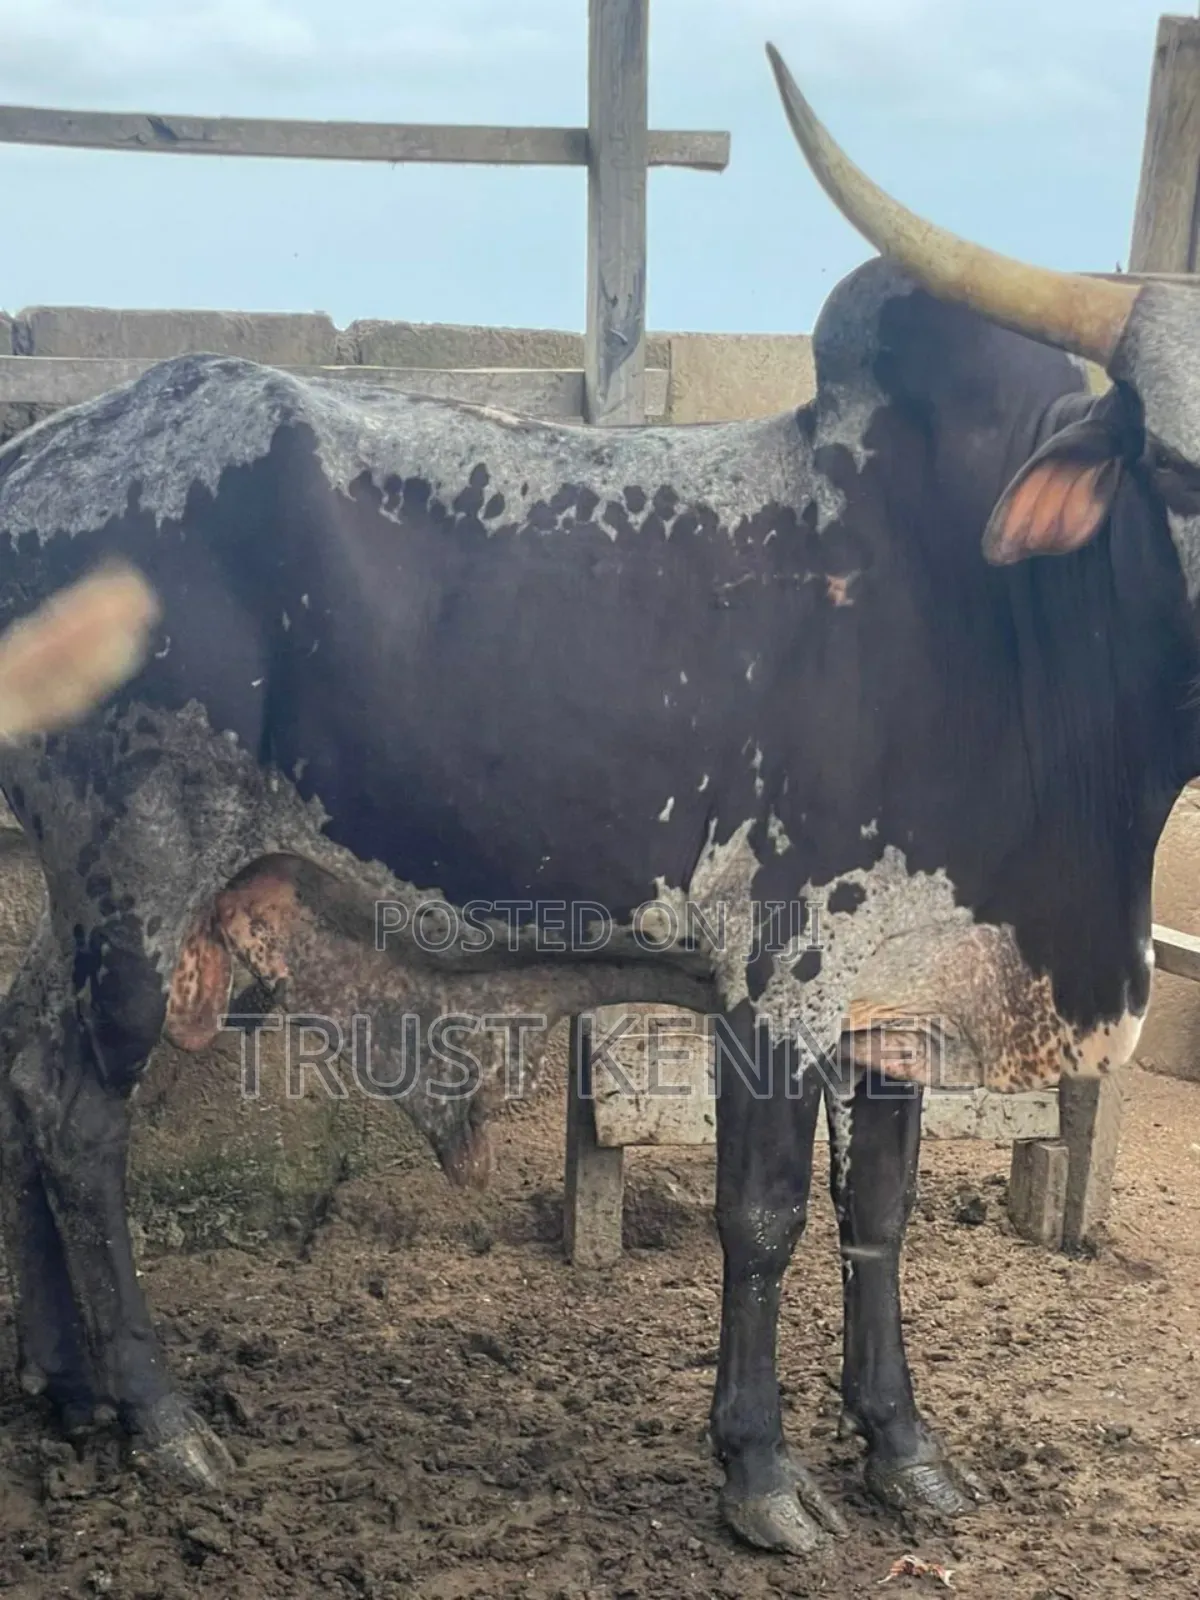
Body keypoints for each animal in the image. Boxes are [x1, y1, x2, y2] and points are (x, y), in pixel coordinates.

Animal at [0, 36, 1196, 1558]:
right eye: (1176, 465)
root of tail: (38, 452)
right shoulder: (781, 977)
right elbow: (764, 1219)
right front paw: (762, 1472)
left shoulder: (899, 997)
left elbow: (882, 1213)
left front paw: (904, 1447)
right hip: (141, 884)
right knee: (75, 1117)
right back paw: (157, 1415)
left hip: (90, 899)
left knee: (17, 1066)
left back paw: (62, 1385)